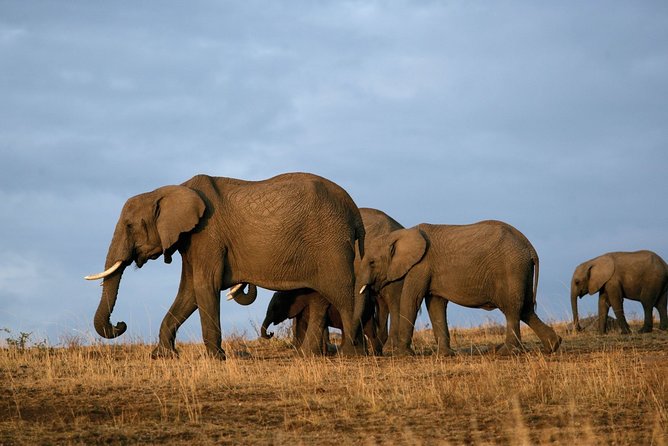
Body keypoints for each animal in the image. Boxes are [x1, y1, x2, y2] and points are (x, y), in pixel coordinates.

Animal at [85, 173, 366, 359]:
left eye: (129, 226)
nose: (120, 325)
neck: (171, 190)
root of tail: (355, 212)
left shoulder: (207, 234)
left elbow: (204, 286)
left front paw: (214, 357)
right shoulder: (192, 239)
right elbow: (189, 292)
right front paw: (162, 355)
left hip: (330, 244)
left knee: (342, 295)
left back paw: (350, 354)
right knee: (319, 298)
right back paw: (311, 355)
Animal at [357, 220, 562, 356]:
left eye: (372, 262)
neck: (402, 234)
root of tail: (530, 248)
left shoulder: (421, 266)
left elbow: (411, 300)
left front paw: (402, 355)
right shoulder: (429, 270)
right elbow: (436, 305)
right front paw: (444, 355)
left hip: (512, 269)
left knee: (512, 309)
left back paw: (505, 352)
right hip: (521, 271)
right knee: (526, 309)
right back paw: (552, 346)